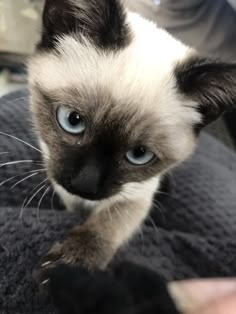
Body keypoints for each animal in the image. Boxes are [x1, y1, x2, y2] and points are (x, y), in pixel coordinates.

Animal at [29, 0, 236, 282]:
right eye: (72, 121)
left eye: (139, 155)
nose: (85, 185)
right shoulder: (56, 171)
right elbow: (71, 203)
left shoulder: (137, 194)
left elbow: (110, 223)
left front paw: (70, 268)